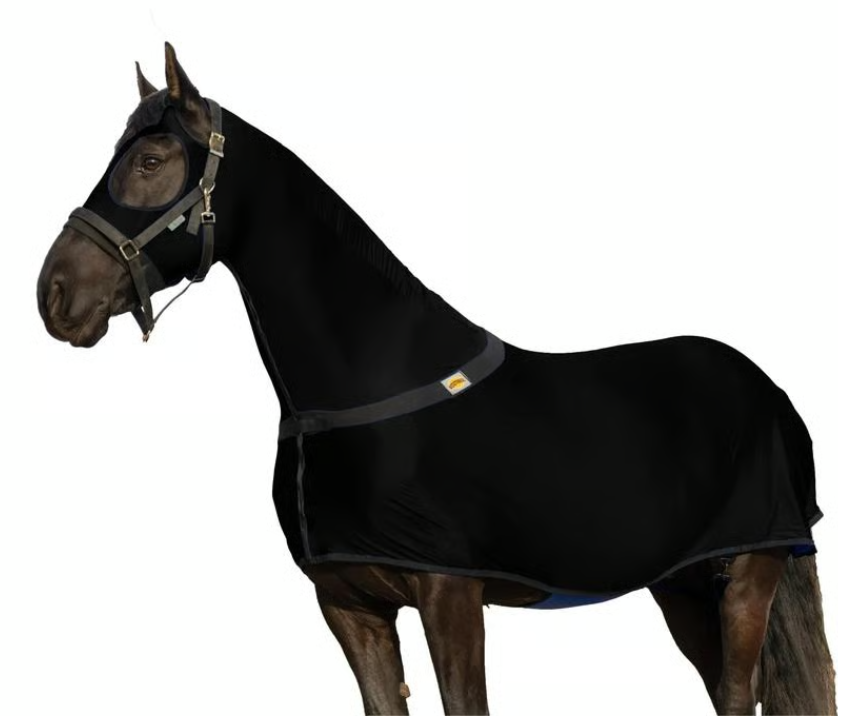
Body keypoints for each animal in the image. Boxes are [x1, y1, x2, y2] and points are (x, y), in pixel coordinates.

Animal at [37, 43, 835, 716]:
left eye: (151, 161)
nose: (56, 296)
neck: (367, 383)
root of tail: (765, 387)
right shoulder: (348, 606)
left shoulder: (451, 595)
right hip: (682, 586)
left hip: (750, 572)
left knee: (738, 694)